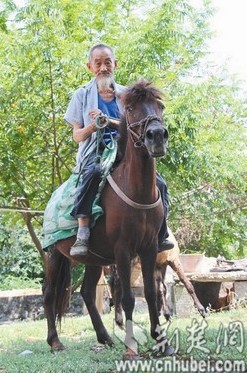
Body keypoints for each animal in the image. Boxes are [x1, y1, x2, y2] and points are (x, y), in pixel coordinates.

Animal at [42, 80, 174, 358]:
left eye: (160, 105)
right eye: (131, 108)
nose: (157, 136)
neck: (137, 189)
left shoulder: (148, 248)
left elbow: (151, 293)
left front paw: (161, 342)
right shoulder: (123, 250)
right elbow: (128, 298)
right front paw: (131, 348)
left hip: (94, 259)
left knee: (86, 292)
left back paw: (104, 337)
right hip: (55, 254)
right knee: (49, 293)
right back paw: (55, 341)